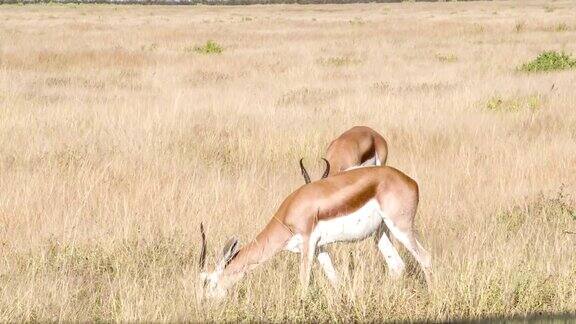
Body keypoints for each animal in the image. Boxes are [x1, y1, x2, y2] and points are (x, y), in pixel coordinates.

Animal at [196, 163, 430, 300]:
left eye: (209, 283)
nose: (204, 303)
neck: (289, 212)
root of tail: (411, 181)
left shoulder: (308, 244)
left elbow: (303, 282)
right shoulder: (320, 247)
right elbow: (335, 279)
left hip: (401, 227)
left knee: (425, 257)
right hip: (380, 234)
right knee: (397, 266)